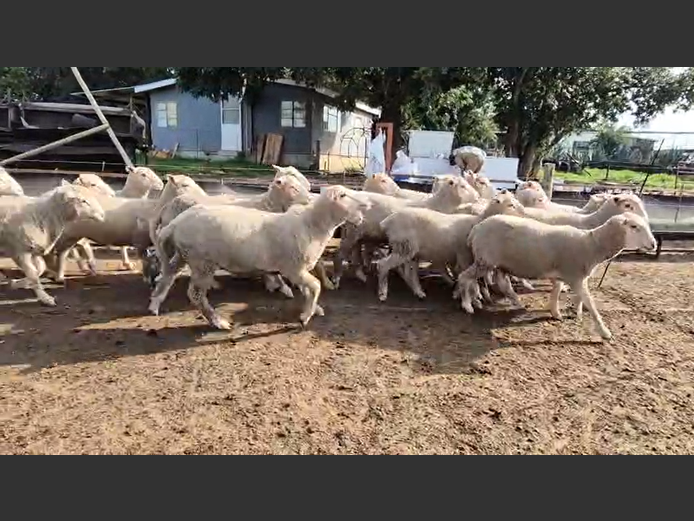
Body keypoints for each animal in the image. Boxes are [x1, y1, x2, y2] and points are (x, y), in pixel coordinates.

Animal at [149, 185, 370, 330]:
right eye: (344, 195)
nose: (366, 205)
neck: (312, 225)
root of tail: (176, 223)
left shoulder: (298, 270)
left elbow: (308, 290)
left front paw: (314, 309)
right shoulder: (293, 268)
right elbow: (315, 286)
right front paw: (305, 317)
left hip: (183, 255)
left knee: (168, 275)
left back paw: (155, 303)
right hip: (202, 262)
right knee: (195, 294)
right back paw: (218, 322)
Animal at [333, 175, 478, 288]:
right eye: (463, 186)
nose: (477, 197)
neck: (436, 205)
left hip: (357, 232)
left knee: (356, 251)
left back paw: (361, 274)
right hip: (352, 232)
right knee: (341, 254)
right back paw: (336, 280)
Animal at [375, 190, 527, 303]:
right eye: (511, 205)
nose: (525, 214)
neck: (477, 222)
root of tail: (387, 221)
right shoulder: (464, 256)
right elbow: (469, 279)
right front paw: (471, 297)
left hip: (410, 250)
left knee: (410, 272)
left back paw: (419, 292)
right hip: (403, 247)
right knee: (383, 265)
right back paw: (382, 293)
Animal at [458, 212, 657, 341]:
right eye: (634, 227)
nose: (654, 244)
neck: (591, 245)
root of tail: (476, 229)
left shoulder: (567, 275)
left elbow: (559, 291)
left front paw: (558, 312)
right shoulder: (575, 276)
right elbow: (590, 303)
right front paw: (604, 332)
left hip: (499, 263)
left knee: (502, 283)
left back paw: (517, 302)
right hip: (485, 260)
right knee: (464, 278)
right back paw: (467, 305)